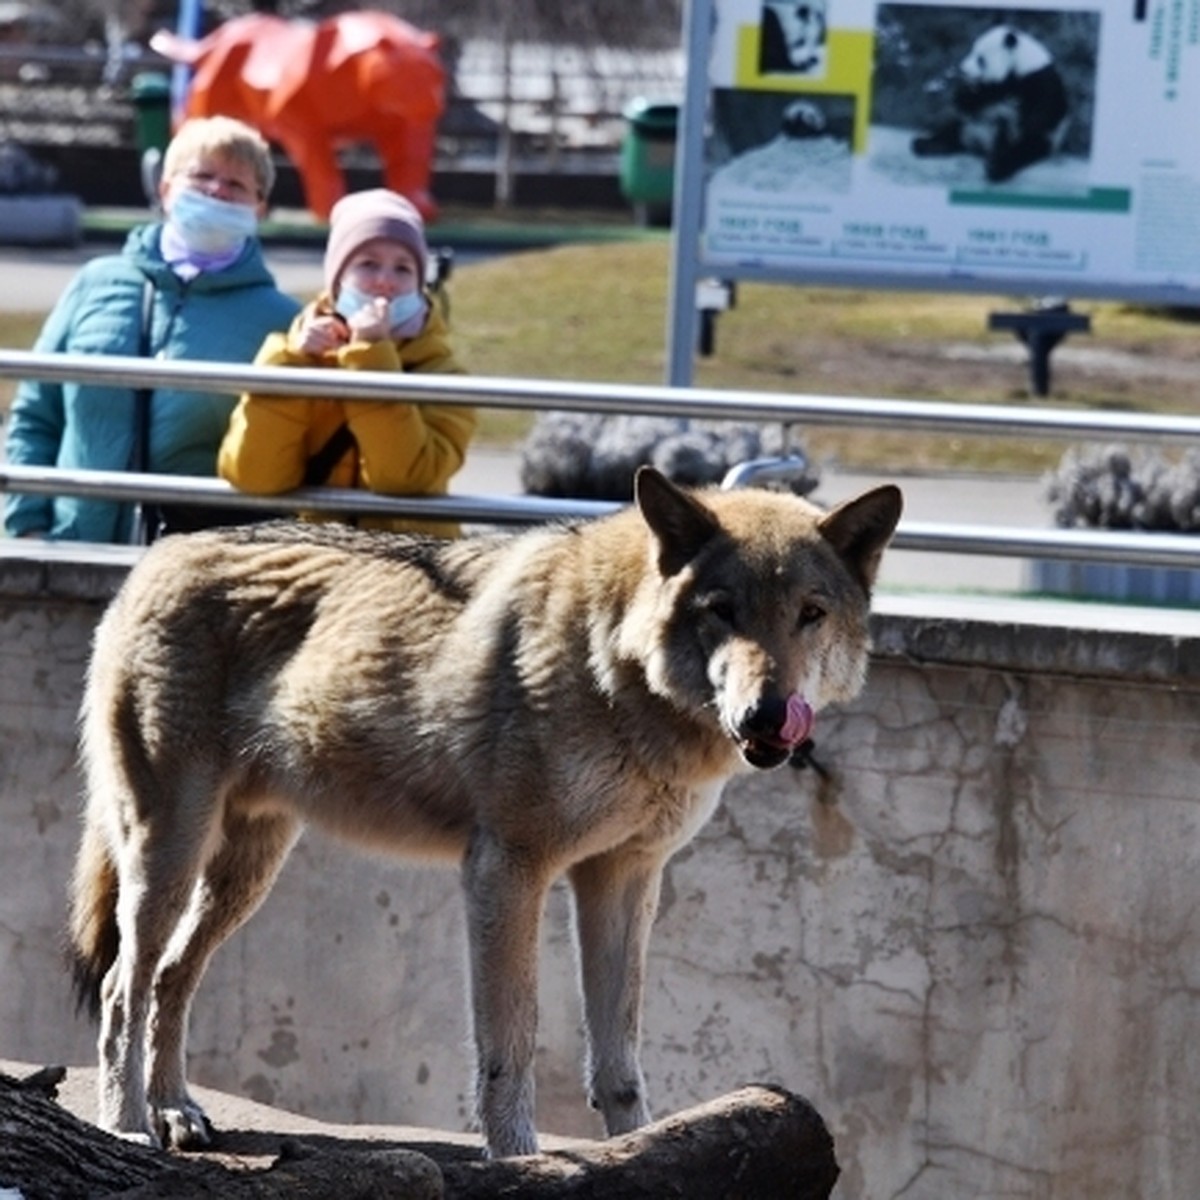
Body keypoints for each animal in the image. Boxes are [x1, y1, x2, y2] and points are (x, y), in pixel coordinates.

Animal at [68, 463, 902, 1156]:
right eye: (722, 610)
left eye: (810, 613)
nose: (768, 716)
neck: (613, 664)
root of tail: (160, 554)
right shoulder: (506, 870)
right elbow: (512, 1046)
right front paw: (521, 1161)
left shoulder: (624, 878)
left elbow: (619, 1056)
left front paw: (645, 1150)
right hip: (169, 855)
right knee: (122, 988)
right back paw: (129, 1125)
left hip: (244, 875)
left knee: (170, 978)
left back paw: (176, 1111)